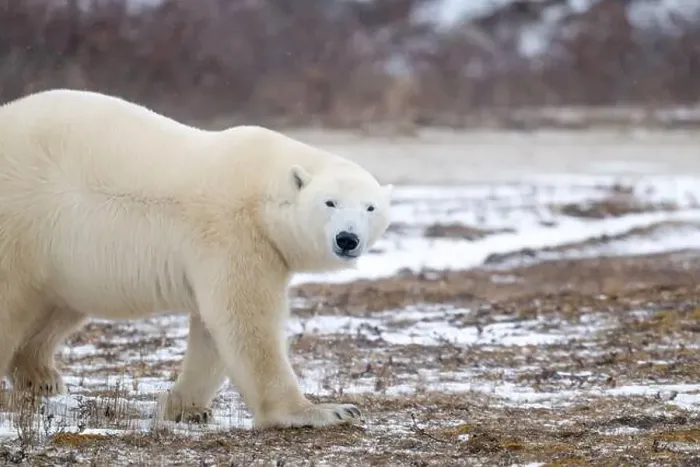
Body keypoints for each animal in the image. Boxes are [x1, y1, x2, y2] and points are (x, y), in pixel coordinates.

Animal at [0, 89, 393, 430]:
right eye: (330, 202)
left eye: (370, 207)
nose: (347, 239)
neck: (261, 190)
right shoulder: (234, 233)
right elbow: (246, 323)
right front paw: (326, 411)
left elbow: (213, 330)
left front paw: (183, 408)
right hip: (22, 220)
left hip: (64, 256)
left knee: (58, 304)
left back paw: (41, 377)